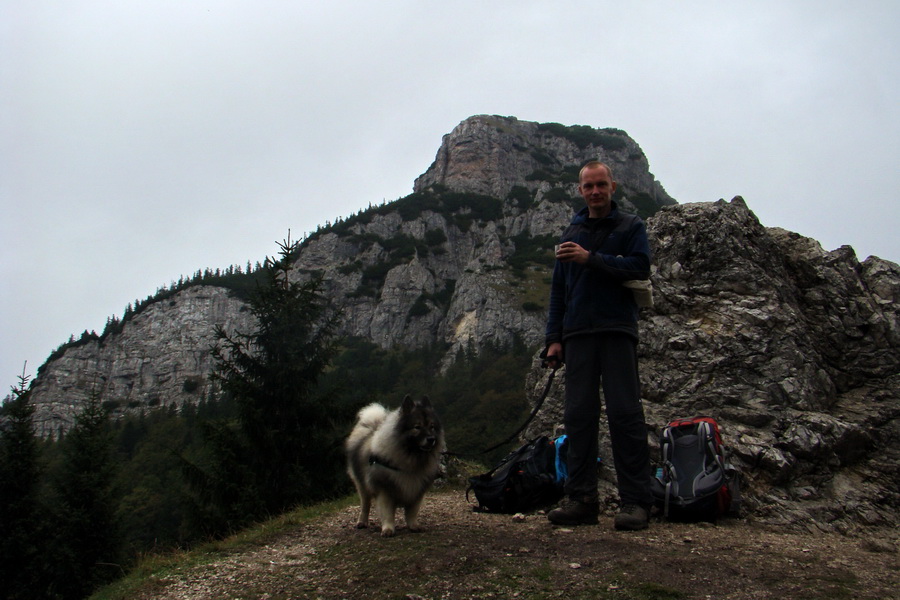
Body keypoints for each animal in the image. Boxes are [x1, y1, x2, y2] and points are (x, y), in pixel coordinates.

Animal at [344, 396, 442, 536]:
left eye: (432, 427)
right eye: (417, 427)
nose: (431, 439)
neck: (410, 459)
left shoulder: (416, 491)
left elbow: (412, 512)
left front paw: (414, 526)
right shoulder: (385, 491)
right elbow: (387, 513)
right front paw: (388, 529)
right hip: (362, 485)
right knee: (365, 505)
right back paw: (362, 522)